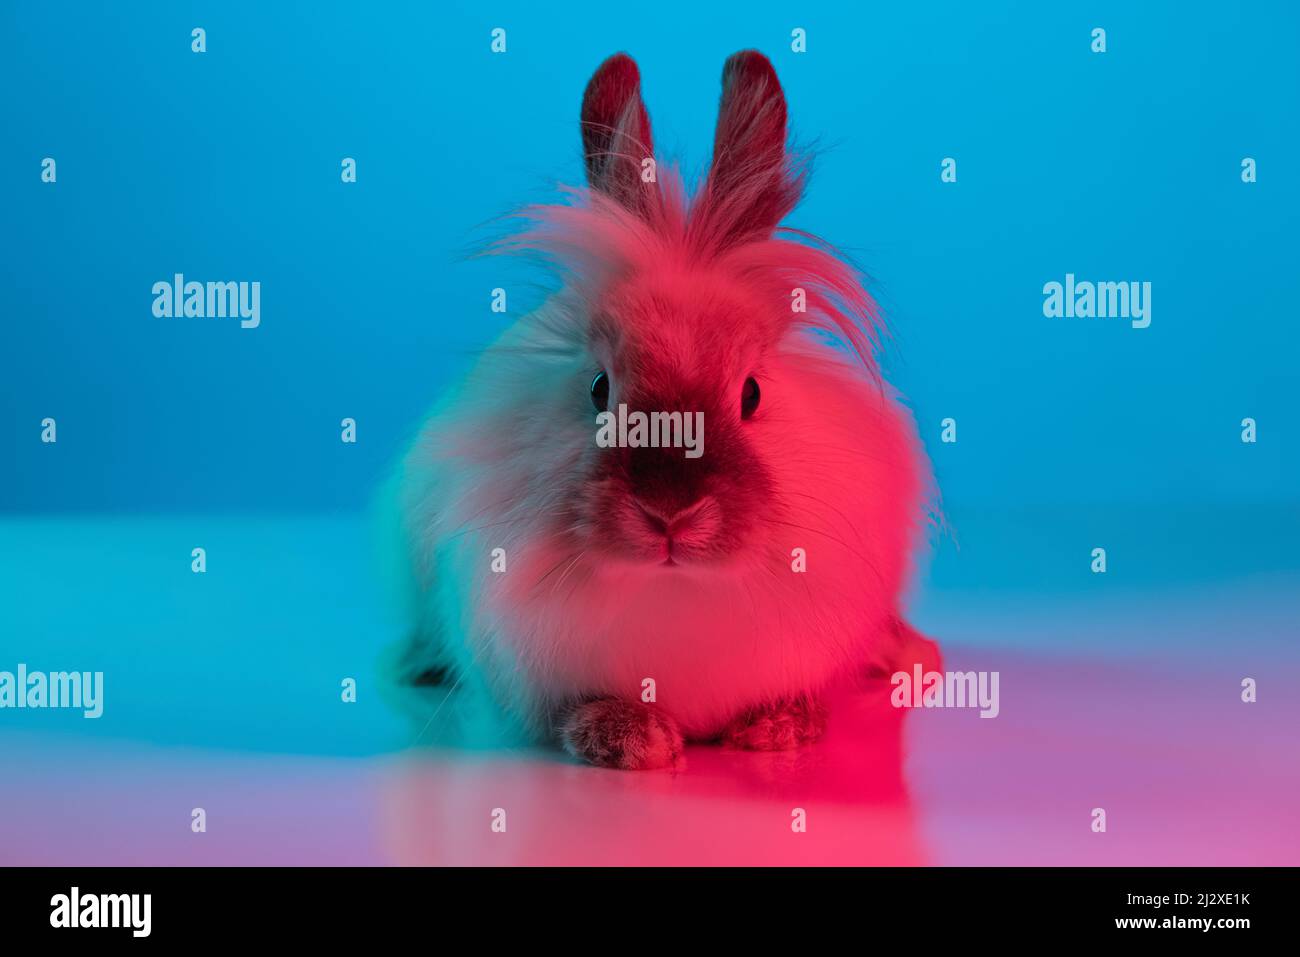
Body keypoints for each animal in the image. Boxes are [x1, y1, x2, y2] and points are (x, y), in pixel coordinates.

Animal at [383, 50, 939, 770]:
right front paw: (629, 737)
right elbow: (574, 709)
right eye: (599, 388)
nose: (670, 512)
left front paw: (778, 727)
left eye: (751, 393)